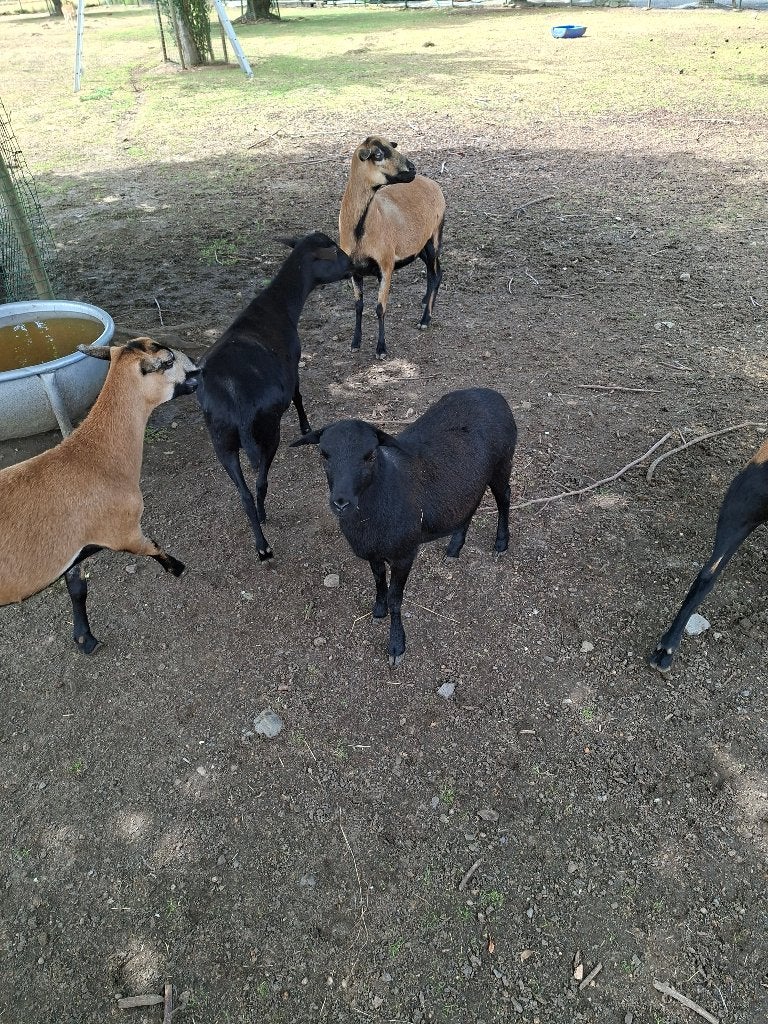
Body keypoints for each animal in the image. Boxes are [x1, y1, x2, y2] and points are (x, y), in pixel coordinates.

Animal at [0, 337, 199, 653]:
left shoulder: (73, 548)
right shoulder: (124, 532)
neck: (96, 456)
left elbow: (77, 587)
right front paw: (178, 568)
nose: (197, 366)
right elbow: (155, 546)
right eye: (168, 361)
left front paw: (85, 639)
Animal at [196, 231, 351, 561]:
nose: (355, 267)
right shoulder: (294, 361)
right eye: (339, 254)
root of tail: (235, 399)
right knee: (261, 480)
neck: (280, 307)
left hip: (220, 437)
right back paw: (265, 528)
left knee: (243, 492)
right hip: (268, 430)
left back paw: (261, 544)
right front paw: (306, 427)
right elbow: (299, 395)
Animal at [292, 387, 517, 665]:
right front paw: (378, 610)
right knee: (470, 506)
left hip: (502, 463)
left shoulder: (404, 554)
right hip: (468, 482)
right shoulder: (373, 551)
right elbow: (378, 580)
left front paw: (396, 645)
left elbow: (395, 598)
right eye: (324, 455)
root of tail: (491, 393)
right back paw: (454, 548)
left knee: (504, 497)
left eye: (371, 455)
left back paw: (501, 543)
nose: (341, 503)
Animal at [339, 135, 446, 359]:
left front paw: (381, 349)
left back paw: (425, 320)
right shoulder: (354, 270)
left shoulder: (386, 266)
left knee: (435, 274)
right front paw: (355, 342)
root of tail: (433, 183)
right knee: (435, 272)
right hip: (420, 246)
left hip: (434, 237)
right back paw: (426, 302)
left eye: (392, 147)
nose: (412, 169)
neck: (359, 231)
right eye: (378, 154)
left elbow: (380, 308)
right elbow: (358, 306)